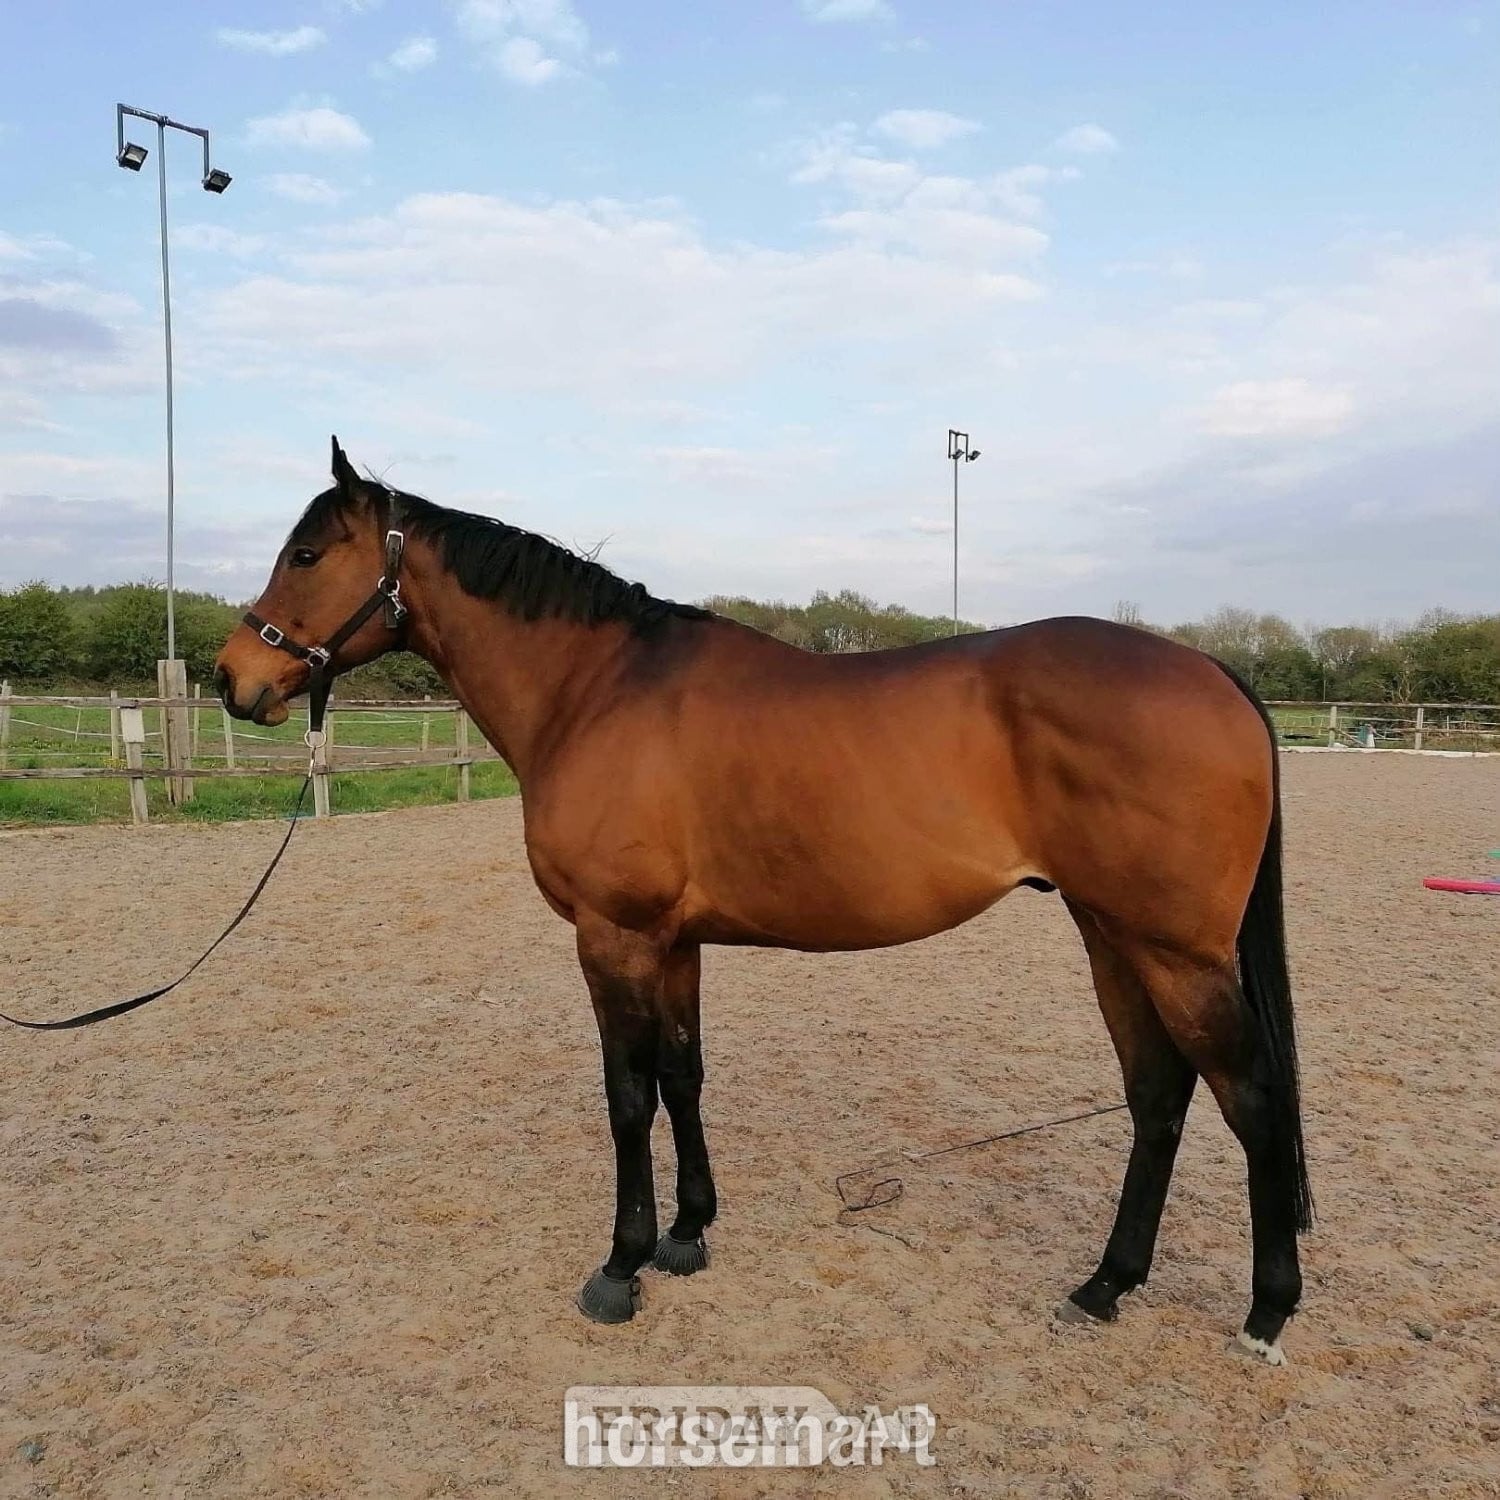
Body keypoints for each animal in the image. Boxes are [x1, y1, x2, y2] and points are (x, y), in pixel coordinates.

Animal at [214, 438, 1313, 1364]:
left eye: (306, 553)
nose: (234, 677)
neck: (596, 689)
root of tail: (1212, 671)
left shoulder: (614, 938)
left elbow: (626, 1097)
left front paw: (620, 1266)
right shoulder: (673, 942)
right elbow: (683, 1076)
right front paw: (688, 1233)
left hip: (1175, 952)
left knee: (1251, 1098)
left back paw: (1265, 1313)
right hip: (1112, 936)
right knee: (1159, 1095)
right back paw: (1105, 1285)